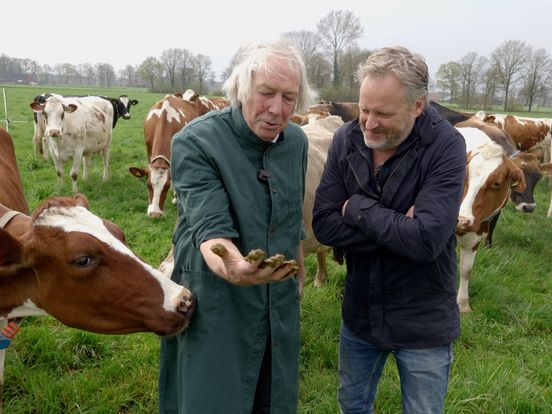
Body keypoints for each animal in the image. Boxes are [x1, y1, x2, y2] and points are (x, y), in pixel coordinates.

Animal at [454, 128, 528, 312]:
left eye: (496, 183)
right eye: (464, 175)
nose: (461, 220)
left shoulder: (476, 236)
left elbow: (466, 269)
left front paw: (463, 304)